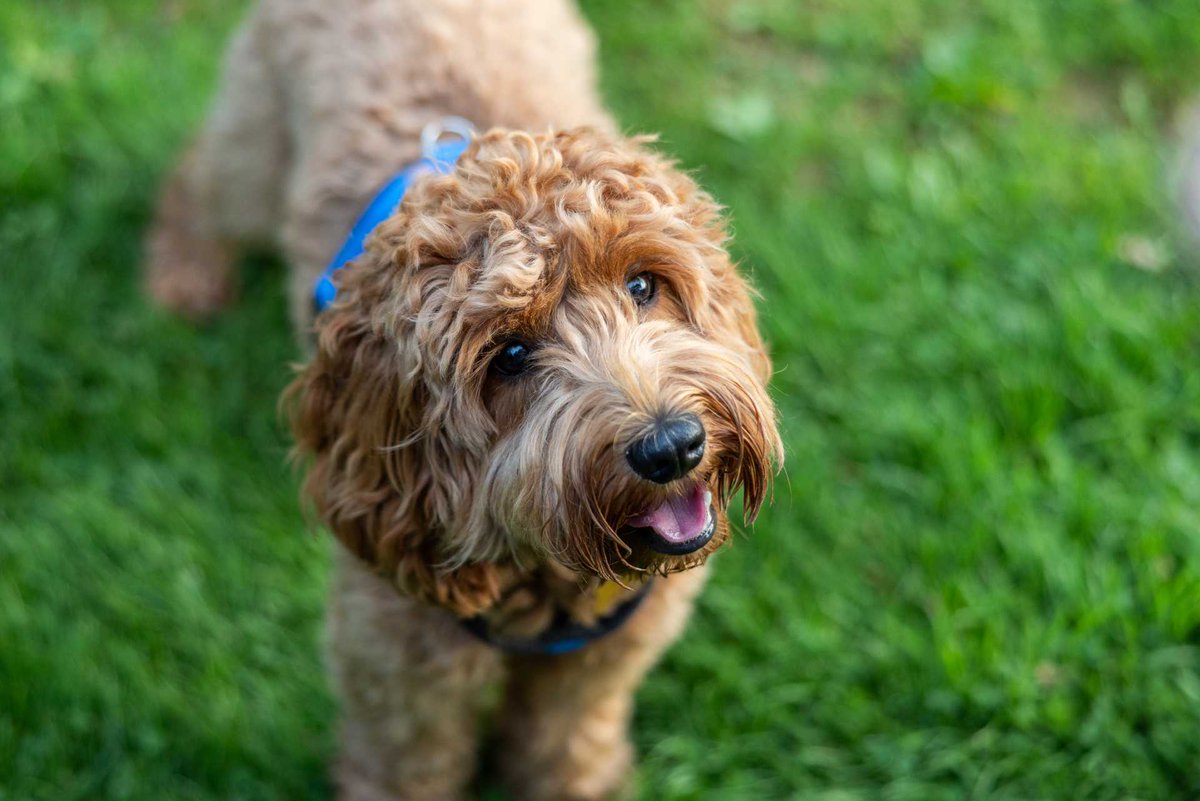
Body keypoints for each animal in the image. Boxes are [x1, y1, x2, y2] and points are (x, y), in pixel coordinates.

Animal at [145, 1, 782, 801]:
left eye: (643, 284)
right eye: (509, 357)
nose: (671, 446)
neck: (545, 578)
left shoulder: (603, 660)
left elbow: (565, 742)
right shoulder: (398, 661)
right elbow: (407, 765)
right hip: (254, 148)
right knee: (200, 175)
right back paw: (185, 272)